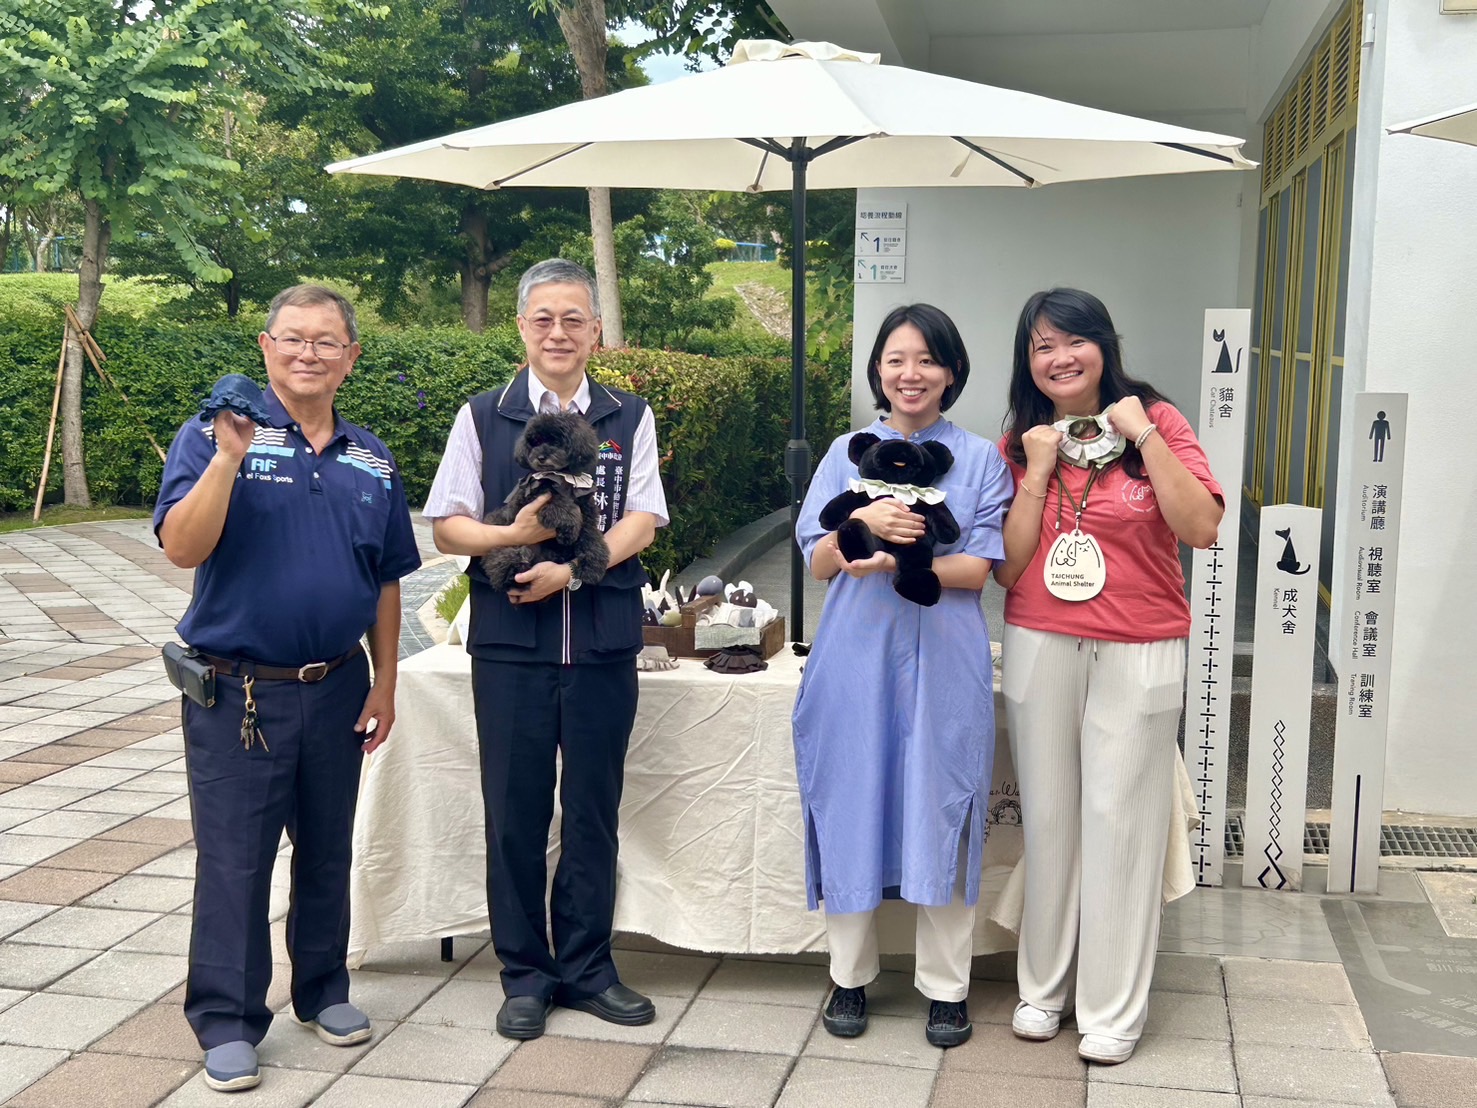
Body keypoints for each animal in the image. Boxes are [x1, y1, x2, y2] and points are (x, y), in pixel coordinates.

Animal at [478, 413, 605, 593]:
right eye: (535, 442)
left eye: (556, 441)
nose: (541, 457)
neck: (561, 477)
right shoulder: (532, 496)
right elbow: (559, 502)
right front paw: (569, 528)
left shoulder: (587, 513)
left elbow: (591, 538)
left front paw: (593, 566)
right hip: (503, 532)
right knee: (499, 559)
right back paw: (512, 571)